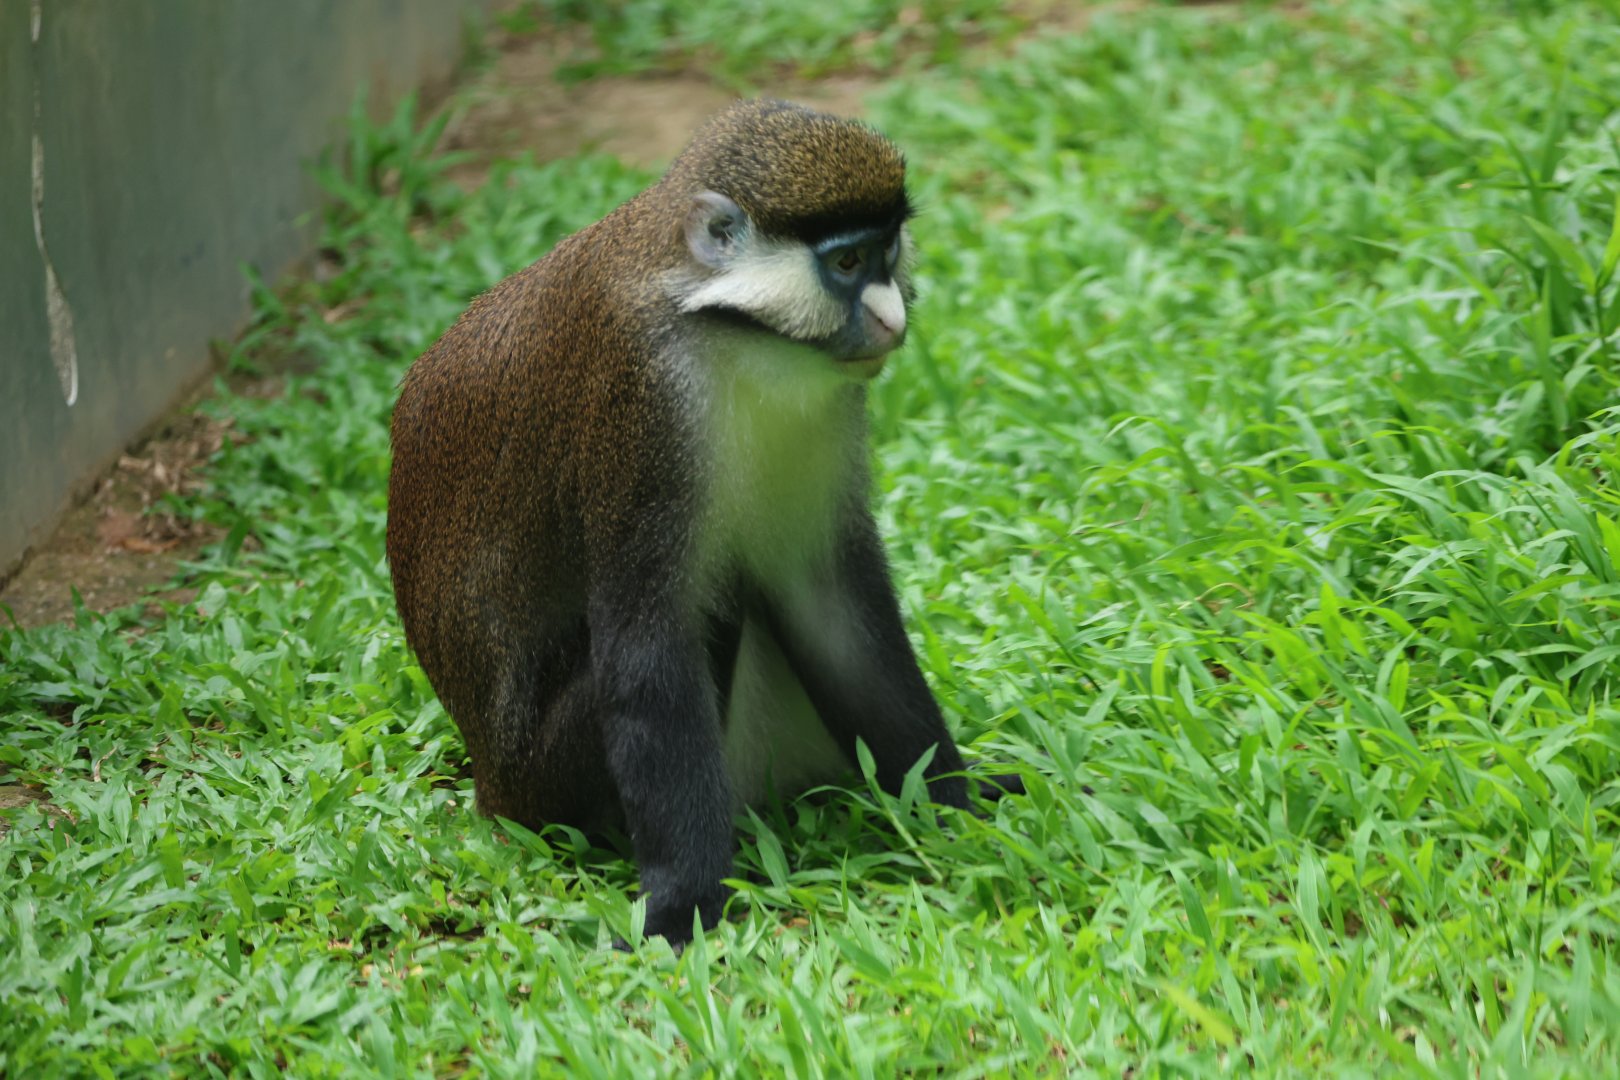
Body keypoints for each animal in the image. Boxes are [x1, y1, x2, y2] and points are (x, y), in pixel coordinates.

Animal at [386, 99, 1021, 948]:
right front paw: (680, 907)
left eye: (887, 252)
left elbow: (831, 607)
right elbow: (647, 646)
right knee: (713, 613)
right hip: (547, 780)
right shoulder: (642, 401)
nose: (893, 318)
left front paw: (952, 801)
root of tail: (493, 790)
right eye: (847, 263)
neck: (728, 330)